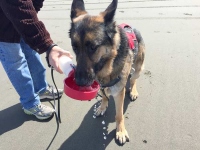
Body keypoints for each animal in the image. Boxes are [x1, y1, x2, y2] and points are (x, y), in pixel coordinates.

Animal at [69, 0, 145, 145]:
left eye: (93, 47)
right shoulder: (101, 84)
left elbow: (119, 115)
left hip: (138, 68)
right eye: (75, 47)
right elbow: (104, 96)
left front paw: (120, 131)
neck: (108, 62)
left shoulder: (119, 93)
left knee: (133, 79)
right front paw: (102, 107)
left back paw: (133, 91)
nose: (79, 82)